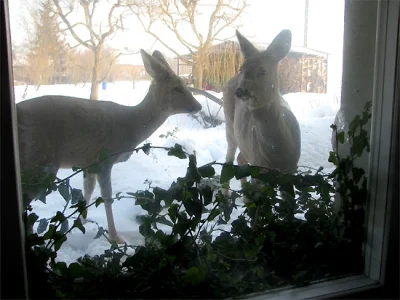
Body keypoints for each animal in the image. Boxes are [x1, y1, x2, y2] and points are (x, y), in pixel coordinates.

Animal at [16, 49, 202, 244]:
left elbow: (88, 190)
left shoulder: (89, 162)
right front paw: (116, 238)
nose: (198, 106)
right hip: (38, 160)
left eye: (185, 85)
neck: (131, 126)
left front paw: (82, 221)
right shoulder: (105, 157)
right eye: (177, 88)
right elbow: (107, 196)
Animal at [222, 29, 300, 202]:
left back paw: (245, 197)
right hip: (230, 127)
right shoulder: (258, 171)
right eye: (241, 69)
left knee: (240, 159)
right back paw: (226, 197)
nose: (240, 91)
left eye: (263, 71)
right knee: (228, 160)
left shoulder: (292, 171)